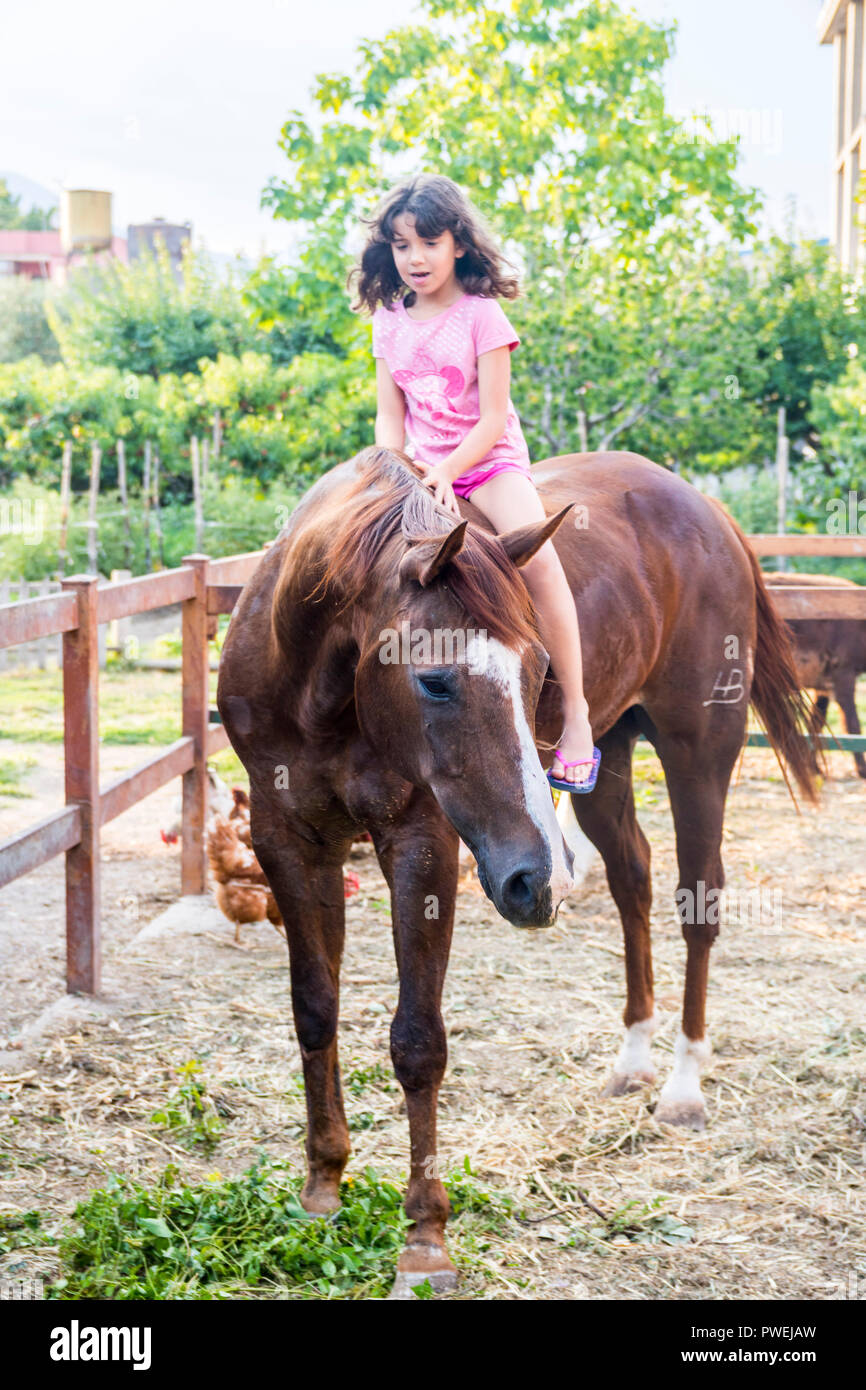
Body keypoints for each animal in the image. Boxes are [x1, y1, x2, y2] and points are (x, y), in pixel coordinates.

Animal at [215, 450, 811, 1295]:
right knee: (632, 880)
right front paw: (323, 1185)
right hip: (611, 751)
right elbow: (314, 1009)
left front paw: (424, 1241)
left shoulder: (423, 844)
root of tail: (706, 511)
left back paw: (682, 1086)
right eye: (435, 679)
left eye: (538, 669)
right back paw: (633, 1059)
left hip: (700, 749)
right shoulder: (287, 840)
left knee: (698, 903)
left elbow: (417, 1041)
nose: (537, 880)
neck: (317, 678)